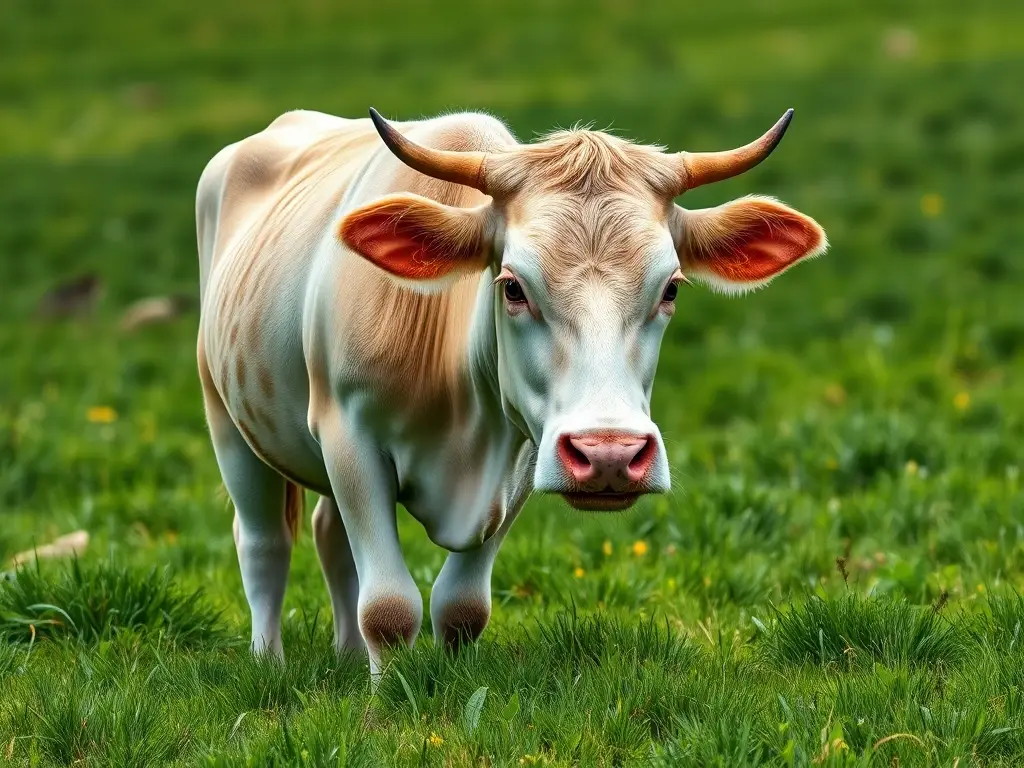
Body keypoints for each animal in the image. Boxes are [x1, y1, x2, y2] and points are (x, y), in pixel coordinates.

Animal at [195, 107, 826, 673]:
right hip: (225, 418)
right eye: (513, 286)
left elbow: (462, 606)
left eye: (670, 288)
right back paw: (269, 663)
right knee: (263, 544)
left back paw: (347, 657)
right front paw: (386, 700)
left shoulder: (525, 451)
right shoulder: (348, 435)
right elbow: (389, 608)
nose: (610, 454)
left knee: (330, 538)